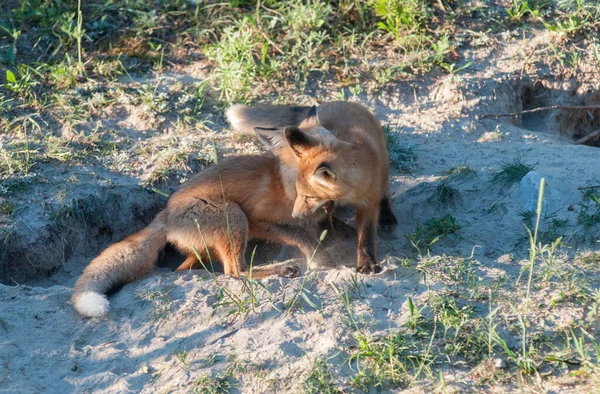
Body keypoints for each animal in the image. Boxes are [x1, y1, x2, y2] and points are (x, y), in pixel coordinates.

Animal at [73, 154, 332, 318]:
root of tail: (166, 214)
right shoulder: (257, 219)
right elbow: (297, 235)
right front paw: (315, 253)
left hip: (211, 245)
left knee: (185, 269)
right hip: (234, 215)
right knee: (234, 271)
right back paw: (282, 268)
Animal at [226, 101, 398, 274]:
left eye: (333, 138)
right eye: (296, 155)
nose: (294, 215)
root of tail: (335, 102)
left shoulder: (368, 201)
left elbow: (366, 238)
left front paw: (367, 262)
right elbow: (322, 226)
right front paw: (330, 243)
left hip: (383, 164)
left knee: (385, 191)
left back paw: (386, 215)